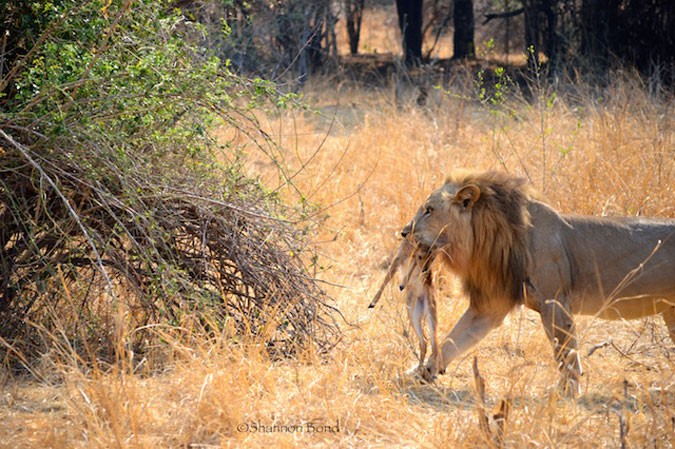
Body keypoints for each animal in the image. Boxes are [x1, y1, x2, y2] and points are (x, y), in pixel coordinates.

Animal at [370, 236, 444, 376]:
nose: (426, 272)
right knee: (428, 343)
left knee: (433, 344)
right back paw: (422, 370)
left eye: (432, 258)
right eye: (422, 256)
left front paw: (372, 302)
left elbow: (392, 276)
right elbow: (389, 276)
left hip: (425, 315)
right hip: (418, 315)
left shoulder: (405, 258)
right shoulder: (401, 257)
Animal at [402, 170, 675, 394]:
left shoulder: (555, 302)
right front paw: (422, 371)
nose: (404, 231)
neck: (486, 235)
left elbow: (566, 352)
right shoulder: (491, 305)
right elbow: (453, 339)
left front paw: (567, 392)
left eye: (429, 210)